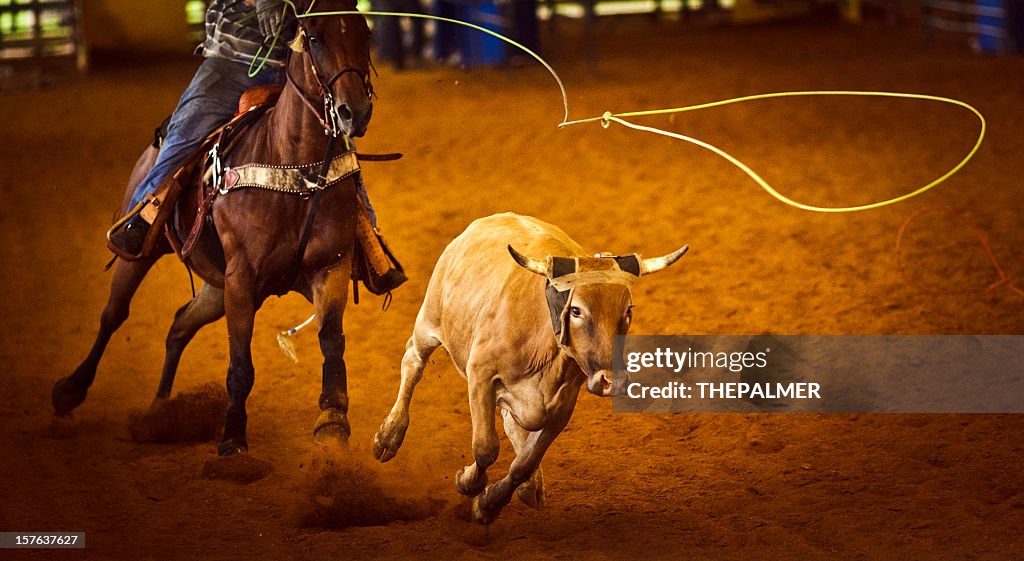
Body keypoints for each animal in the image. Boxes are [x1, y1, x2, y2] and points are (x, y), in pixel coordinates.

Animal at [49, 0, 374, 456]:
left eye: (366, 34)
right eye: (314, 37)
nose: (354, 112)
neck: (296, 169)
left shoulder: (330, 268)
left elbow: (332, 343)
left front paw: (332, 424)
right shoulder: (242, 278)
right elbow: (240, 366)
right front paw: (233, 440)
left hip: (215, 287)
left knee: (179, 324)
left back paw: (159, 412)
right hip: (145, 253)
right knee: (113, 315)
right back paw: (71, 390)